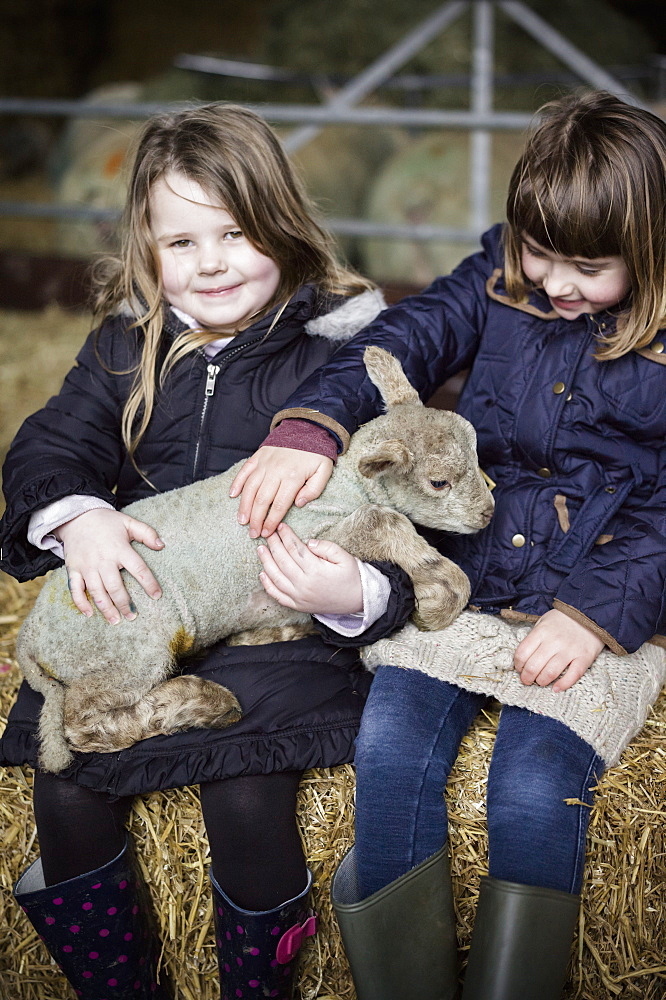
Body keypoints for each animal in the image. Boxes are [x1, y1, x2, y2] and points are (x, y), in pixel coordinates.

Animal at [15, 348, 492, 776]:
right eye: (439, 482)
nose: (488, 513)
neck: (351, 483)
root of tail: (28, 638)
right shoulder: (304, 539)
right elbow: (385, 521)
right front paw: (444, 597)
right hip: (126, 649)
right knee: (84, 722)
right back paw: (201, 702)